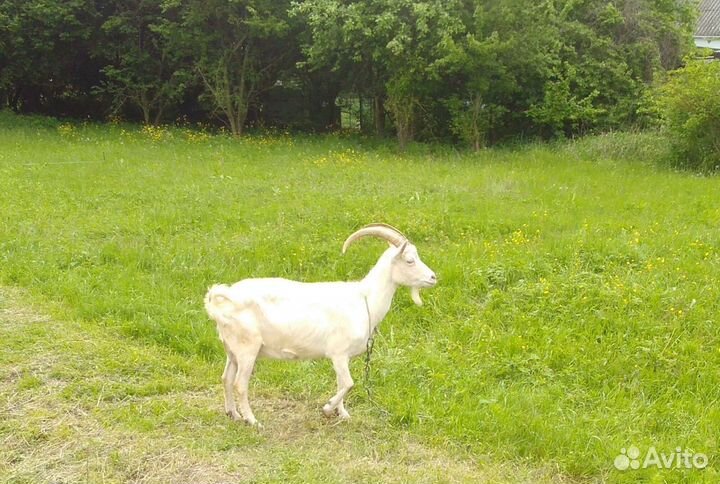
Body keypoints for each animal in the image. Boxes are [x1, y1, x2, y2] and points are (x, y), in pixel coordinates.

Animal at [204, 223, 437, 425]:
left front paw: (343, 414)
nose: (433, 277)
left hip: (232, 349)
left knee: (226, 378)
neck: (365, 299)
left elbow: (341, 382)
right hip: (248, 348)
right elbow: (349, 383)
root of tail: (222, 300)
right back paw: (252, 421)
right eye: (410, 260)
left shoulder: (342, 357)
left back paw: (233, 414)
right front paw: (327, 408)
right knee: (239, 384)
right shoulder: (338, 352)